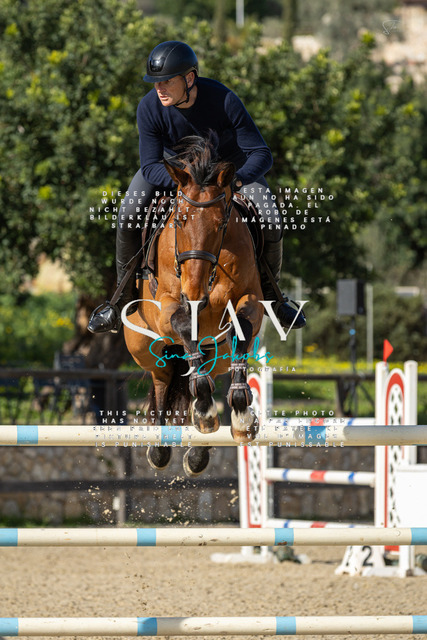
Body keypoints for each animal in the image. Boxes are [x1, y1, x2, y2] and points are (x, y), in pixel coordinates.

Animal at [123, 135, 264, 476]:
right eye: (180, 220)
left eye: (221, 222)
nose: (194, 292)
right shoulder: (167, 309)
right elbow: (185, 326)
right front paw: (204, 406)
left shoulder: (252, 301)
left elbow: (242, 328)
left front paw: (242, 415)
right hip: (147, 348)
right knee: (163, 382)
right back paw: (161, 448)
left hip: (217, 353)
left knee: (205, 366)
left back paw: (199, 451)